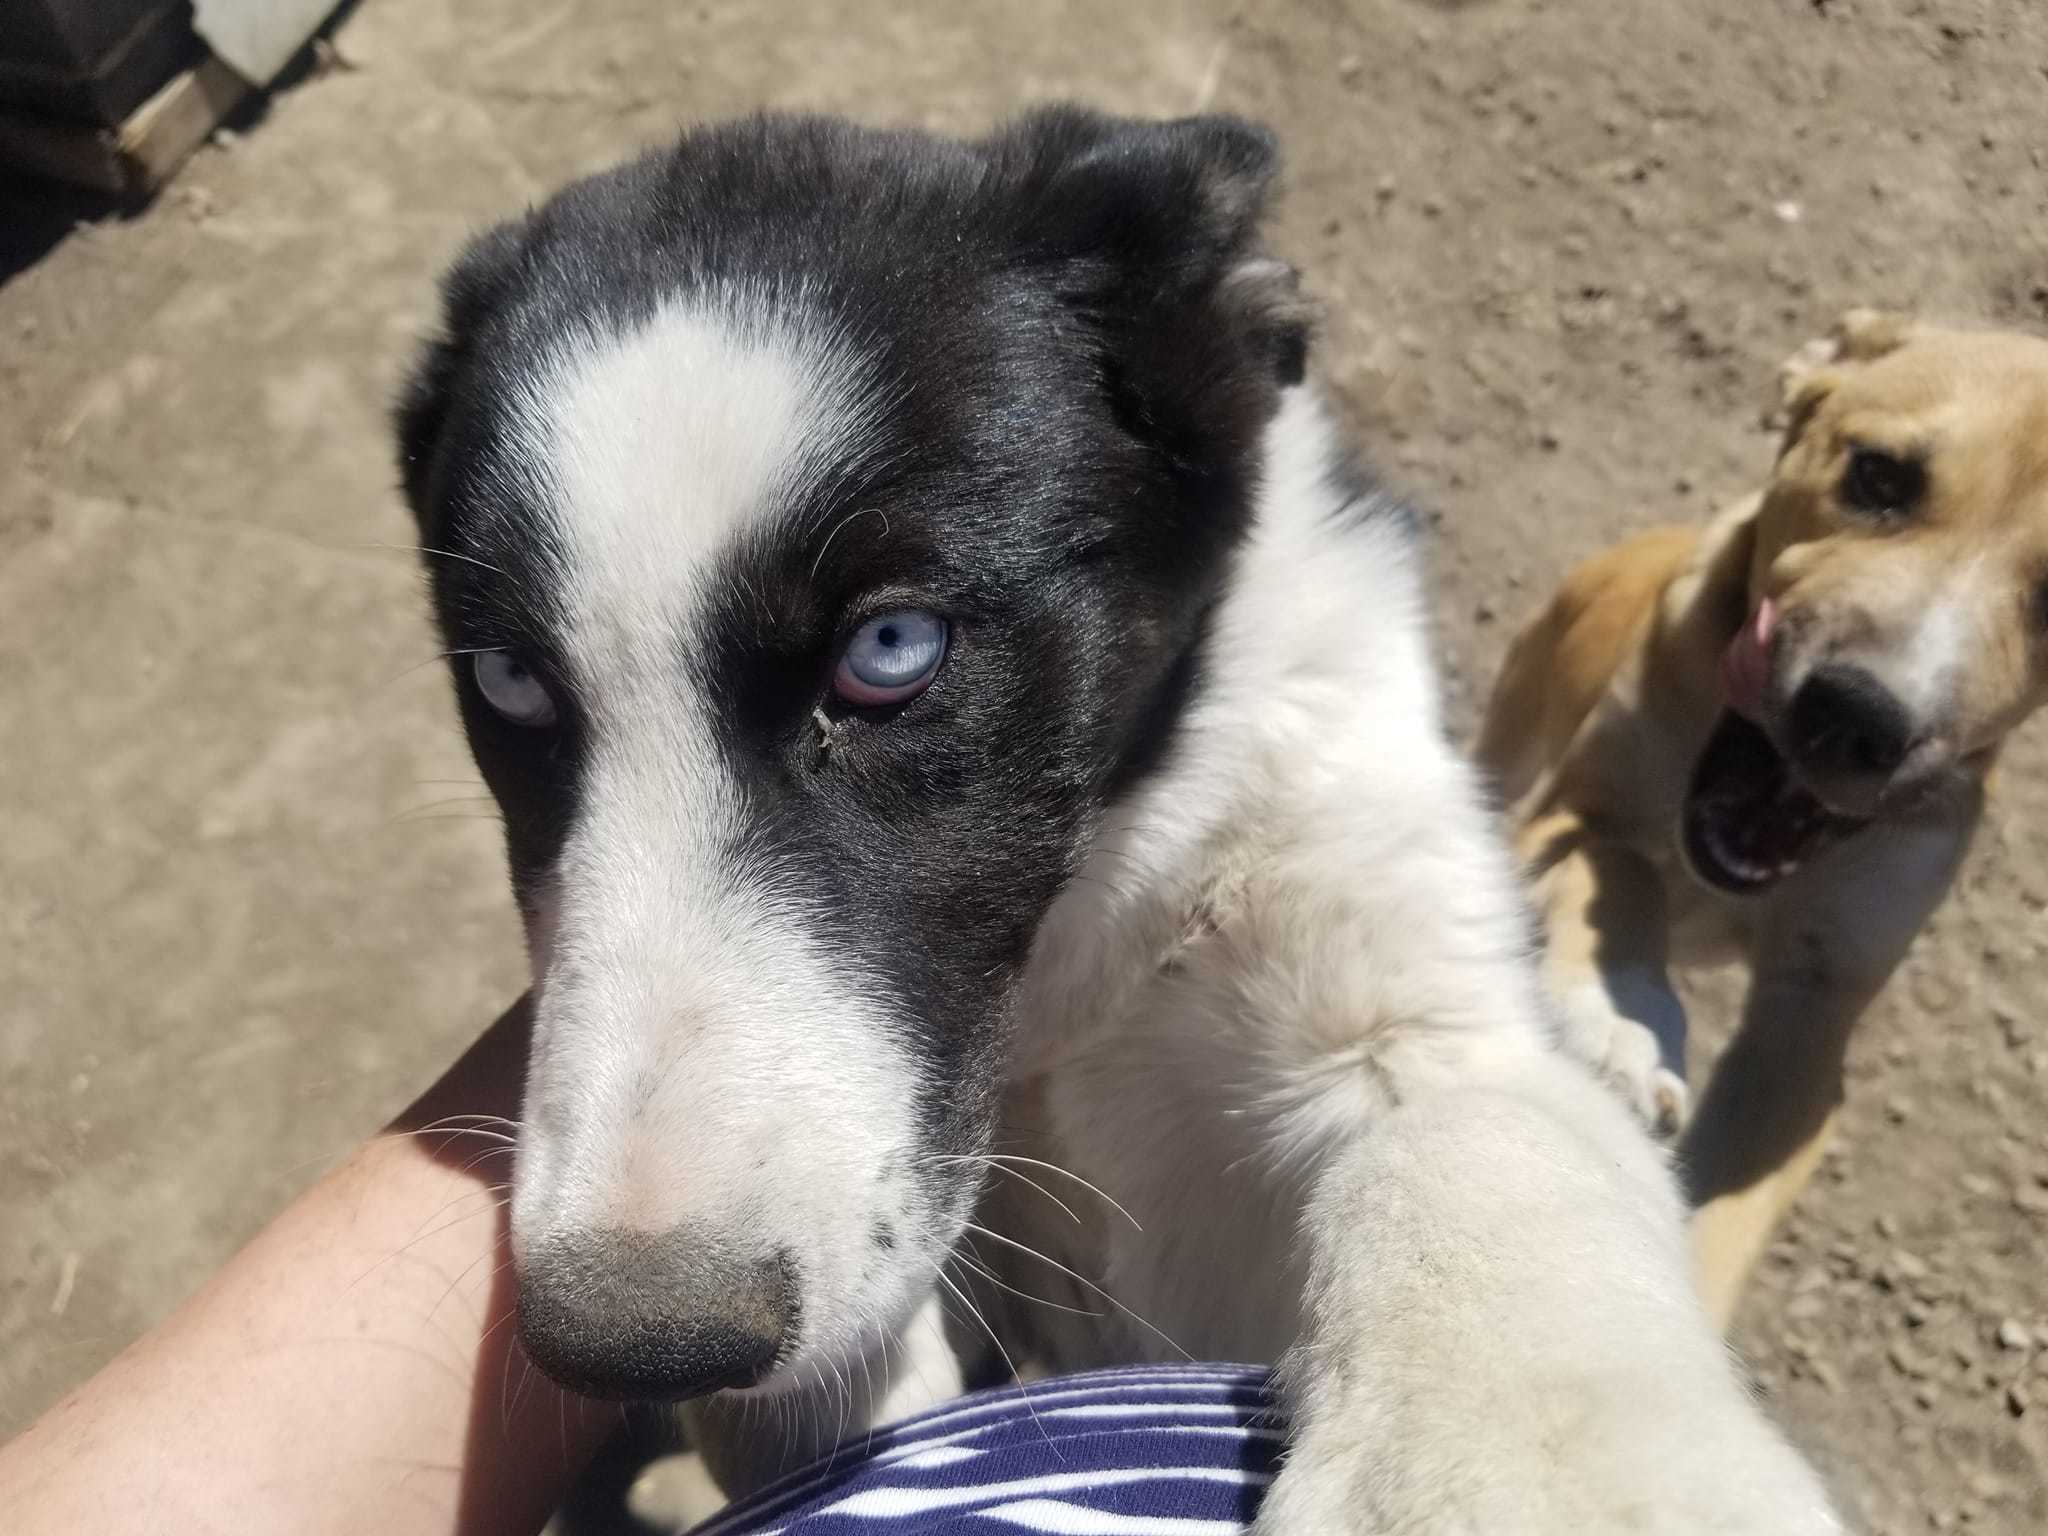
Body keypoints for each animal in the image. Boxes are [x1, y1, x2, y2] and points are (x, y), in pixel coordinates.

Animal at [403, 108, 1843, 1531]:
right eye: (508, 680)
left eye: (890, 649)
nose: (634, 1344)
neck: (1066, 957)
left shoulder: (1379, 941)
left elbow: (1475, 1133)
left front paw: (1549, 1476)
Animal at [1482, 309, 2048, 1327]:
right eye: (1878, 475)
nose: (1857, 717)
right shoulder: (1567, 817)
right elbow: (1620, 871)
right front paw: (1623, 1024)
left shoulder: (1812, 1022)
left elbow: (1723, 1216)